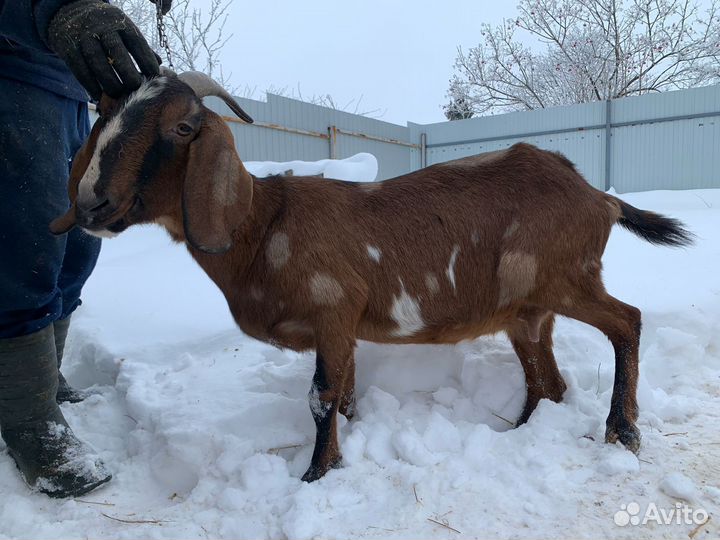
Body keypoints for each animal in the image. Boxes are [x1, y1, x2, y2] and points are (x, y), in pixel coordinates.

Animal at [50, 71, 693, 482]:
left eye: (184, 128)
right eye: (104, 118)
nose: (93, 204)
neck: (263, 225)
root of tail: (598, 197)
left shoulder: (333, 310)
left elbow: (320, 397)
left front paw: (316, 473)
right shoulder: (344, 327)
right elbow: (345, 395)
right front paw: (340, 452)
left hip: (568, 278)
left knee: (627, 322)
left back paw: (622, 431)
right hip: (527, 308)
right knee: (546, 379)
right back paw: (522, 431)